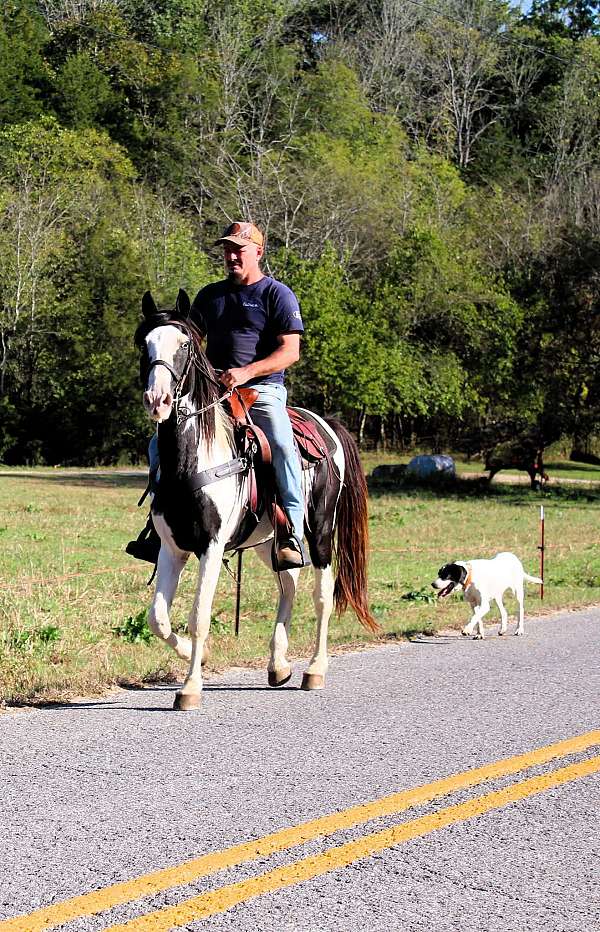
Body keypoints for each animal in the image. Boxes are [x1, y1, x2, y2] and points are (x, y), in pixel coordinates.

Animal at [137, 288, 380, 708]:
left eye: (184, 344)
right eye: (144, 342)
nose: (158, 399)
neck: (194, 457)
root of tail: (327, 426)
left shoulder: (212, 546)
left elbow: (198, 615)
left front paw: (191, 687)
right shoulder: (172, 547)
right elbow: (159, 618)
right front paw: (197, 655)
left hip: (320, 530)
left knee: (321, 596)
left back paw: (314, 669)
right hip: (272, 542)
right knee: (290, 585)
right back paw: (279, 665)